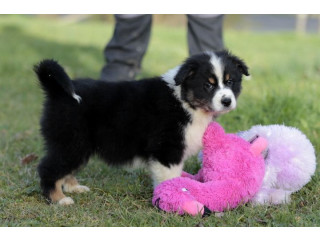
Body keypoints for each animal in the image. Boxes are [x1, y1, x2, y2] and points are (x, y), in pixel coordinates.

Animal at [35, 50, 250, 204]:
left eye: (230, 81)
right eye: (208, 85)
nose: (227, 101)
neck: (184, 101)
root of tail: (57, 92)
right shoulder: (167, 148)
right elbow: (170, 178)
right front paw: (172, 199)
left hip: (78, 145)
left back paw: (74, 188)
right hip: (72, 142)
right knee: (49, 168)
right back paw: (59, 199)